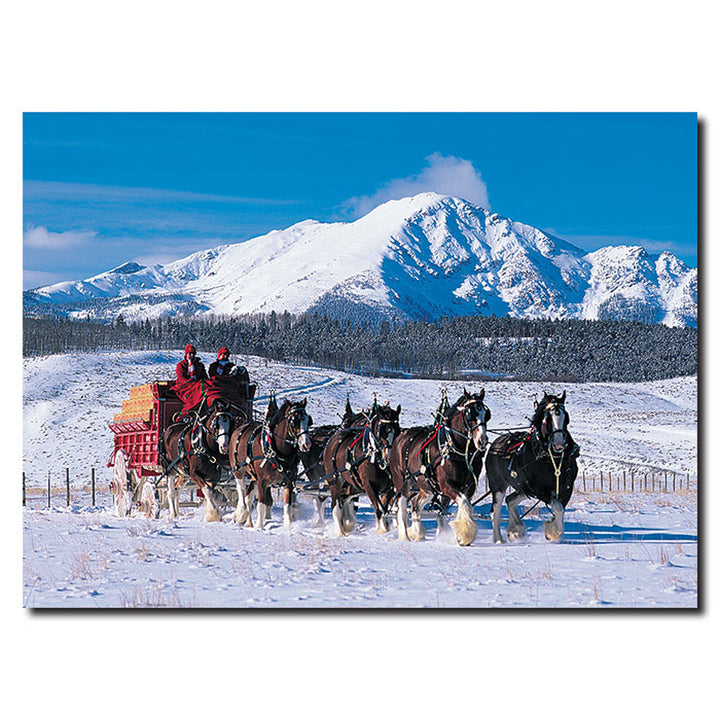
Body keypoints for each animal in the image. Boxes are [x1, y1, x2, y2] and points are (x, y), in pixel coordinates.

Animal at [229, 394, 310, 528]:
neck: (277, 451)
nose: (306, 444)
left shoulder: (289, 481)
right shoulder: (262, 481)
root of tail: (240, 427)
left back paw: (248, 522)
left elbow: (287, 506)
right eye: (294, 421)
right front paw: (259, 527)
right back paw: (242, 513)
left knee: (248, 496)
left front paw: (288, 526)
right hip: (238, 470)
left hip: (253, 476)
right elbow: (261, 505)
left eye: (308, 420)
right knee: (242, 492)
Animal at [324, 400, 402, 536]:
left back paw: (348, 523)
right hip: (335, 481)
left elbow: (384, 510)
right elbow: (380, 509)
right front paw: (382, 529)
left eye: (397, 429)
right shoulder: (369, 485)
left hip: (352, 485)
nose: (388, 456)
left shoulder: (388, 489)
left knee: (344, 498)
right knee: (336, 505)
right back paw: (340, 532)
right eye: (382, 430)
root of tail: (331, 441)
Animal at [388, 388, 490, 544]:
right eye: (470, 414)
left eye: (486, 413)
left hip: (427, 487)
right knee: (402, 507)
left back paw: (418, 533)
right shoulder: (446, 484)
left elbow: (464, 504)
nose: (482, 441)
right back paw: (404, 536)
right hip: (402, 482)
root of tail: (400, 437)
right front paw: (465, 534)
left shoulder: (469, 485)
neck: (455, 447)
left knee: (415, 505)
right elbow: (463, 502)